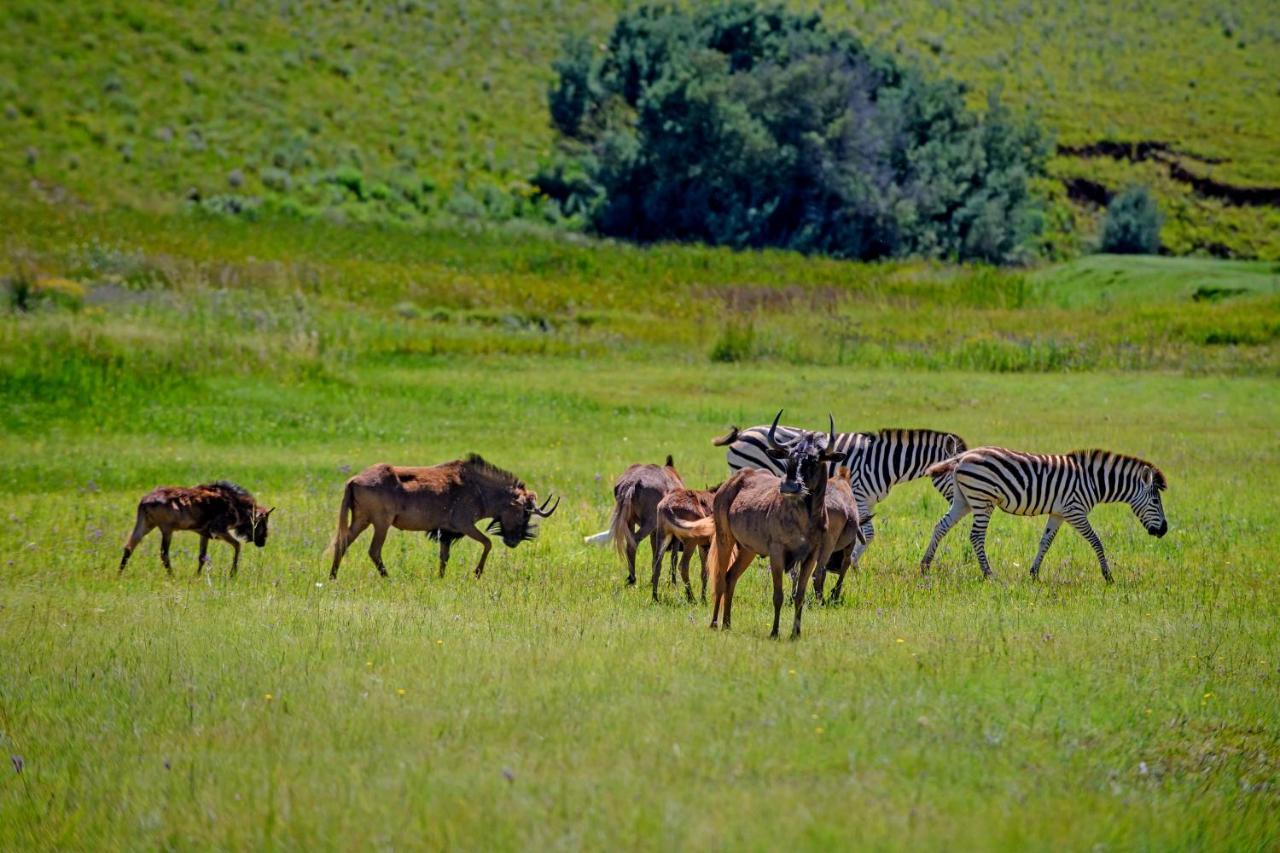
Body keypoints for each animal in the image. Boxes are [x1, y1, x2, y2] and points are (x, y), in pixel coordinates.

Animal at [711, 420, 967, 591]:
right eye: (954, 471)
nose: (961, 504)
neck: (886, 462)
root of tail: (745, 432)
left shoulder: (865, 501)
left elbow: (864, 533)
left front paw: (850, 565)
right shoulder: (860, 495)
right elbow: (868, 534)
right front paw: (853, 566)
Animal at [921, 445, 1172, 578]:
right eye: (1155, 501)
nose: (1164, 530)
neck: (1093, 481)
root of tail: (963, 455)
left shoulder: (1058, 513)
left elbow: (1045, 542)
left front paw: (1033, 573)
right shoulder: (1075, 511)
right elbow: (1096, 541)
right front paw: (1108, 576)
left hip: (964, 500)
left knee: (940, 526)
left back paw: (925, 566)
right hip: (983, 499)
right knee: (976, 536)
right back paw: (988, 574)